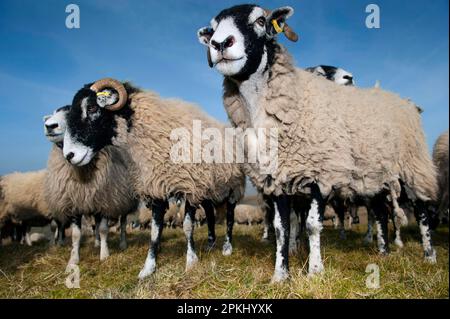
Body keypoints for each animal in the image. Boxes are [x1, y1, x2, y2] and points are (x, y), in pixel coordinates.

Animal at [44, 105, 140, 268]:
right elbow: (76, 235)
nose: (49, 126)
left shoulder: (106, 200)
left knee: (122, 222)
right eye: (54, 113)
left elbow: (103, 229)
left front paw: (104, 255)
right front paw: (73, 260)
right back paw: (96, 243)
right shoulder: (75, 202)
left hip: (122, 199)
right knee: (96, 222)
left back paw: (122, 243)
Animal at [60, 79, 246, 278]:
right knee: (211, 214)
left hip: (233, 187)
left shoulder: (189, 186)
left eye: (92, 108)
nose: (69, 155)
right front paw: (148, 268)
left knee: (229, 216)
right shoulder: (157, 187)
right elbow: (155, 232)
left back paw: (227, 247)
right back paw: (211, 244)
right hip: (207, 189)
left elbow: (188, 226)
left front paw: (190, 262)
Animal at [199, 3, 438, 282]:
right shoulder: (278, 179)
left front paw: (314, 271)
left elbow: (313, 226)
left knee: (421, 212)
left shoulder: (319, 174)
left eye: (260, 20)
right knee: (380, 212)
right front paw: (280, 275)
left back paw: (429, 255)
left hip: (413, 167)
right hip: (375, 175)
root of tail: (401, 99)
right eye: (212, 28)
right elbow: (282, 228)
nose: (219, 43)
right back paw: (383, 252)